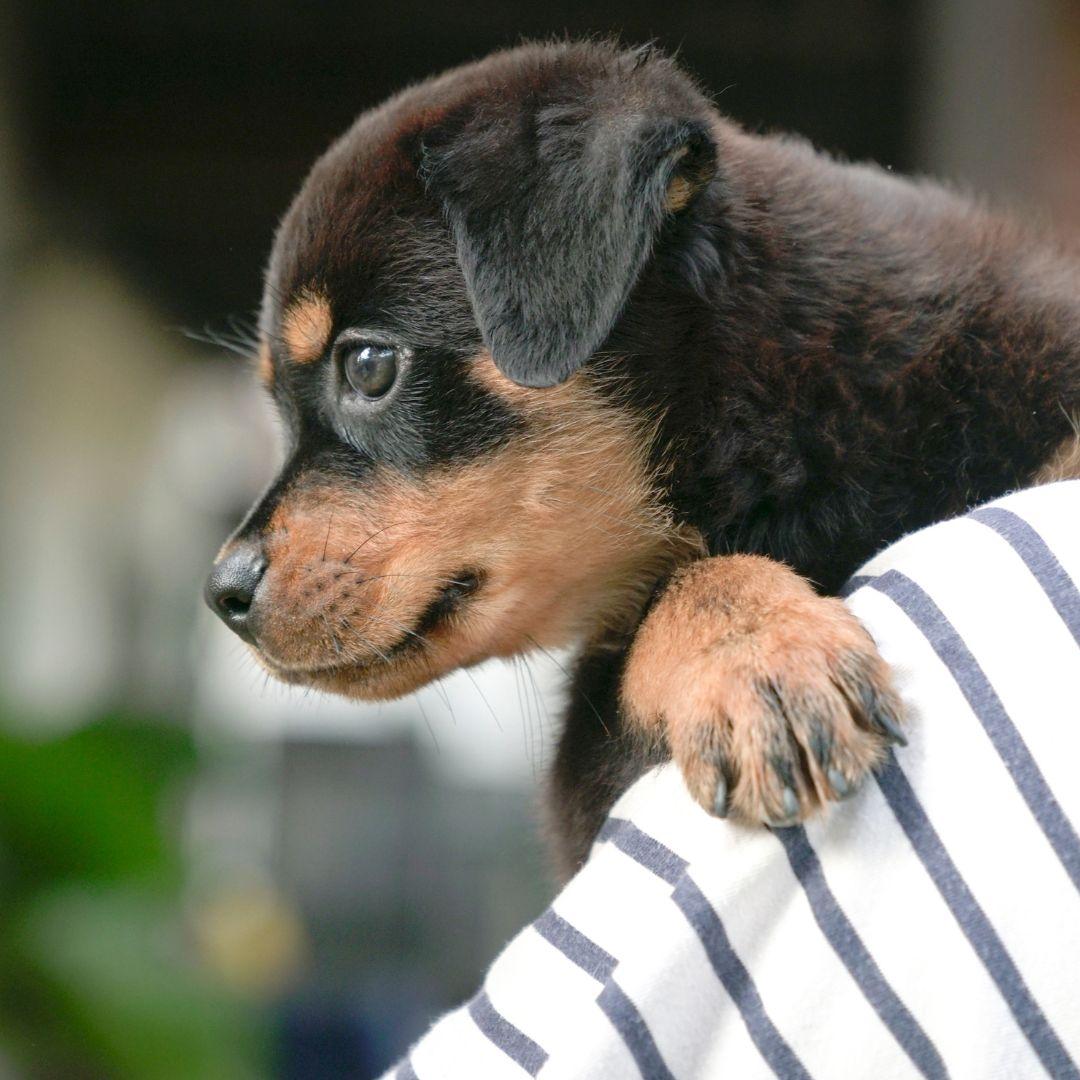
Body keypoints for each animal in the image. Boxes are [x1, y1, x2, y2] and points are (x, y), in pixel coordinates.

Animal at [204, 39, 1080, 876]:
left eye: (367, 366)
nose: (223, 593)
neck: (784, 430)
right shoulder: (586, 780)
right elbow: (665, 605)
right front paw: (757, 658)